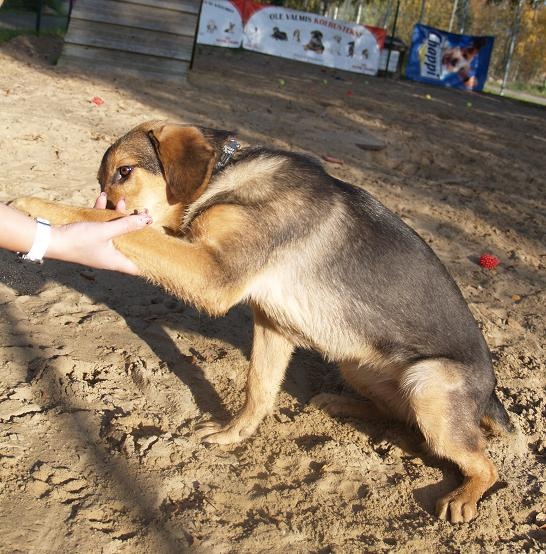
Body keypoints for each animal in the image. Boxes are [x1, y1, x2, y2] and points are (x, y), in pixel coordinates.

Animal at [12, 121, 513, 523]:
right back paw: (341, 403)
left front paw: (37, 203)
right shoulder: (272, 323)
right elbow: (259, 389)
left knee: (484, 462)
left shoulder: (214, 274)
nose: (111, 197)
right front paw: (233, 434)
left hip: (428, 383)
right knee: (400, 418)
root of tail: (488, 394)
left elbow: (103, 220)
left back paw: (464, 496)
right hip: (360, 365)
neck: (220, 178)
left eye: (125, 172)